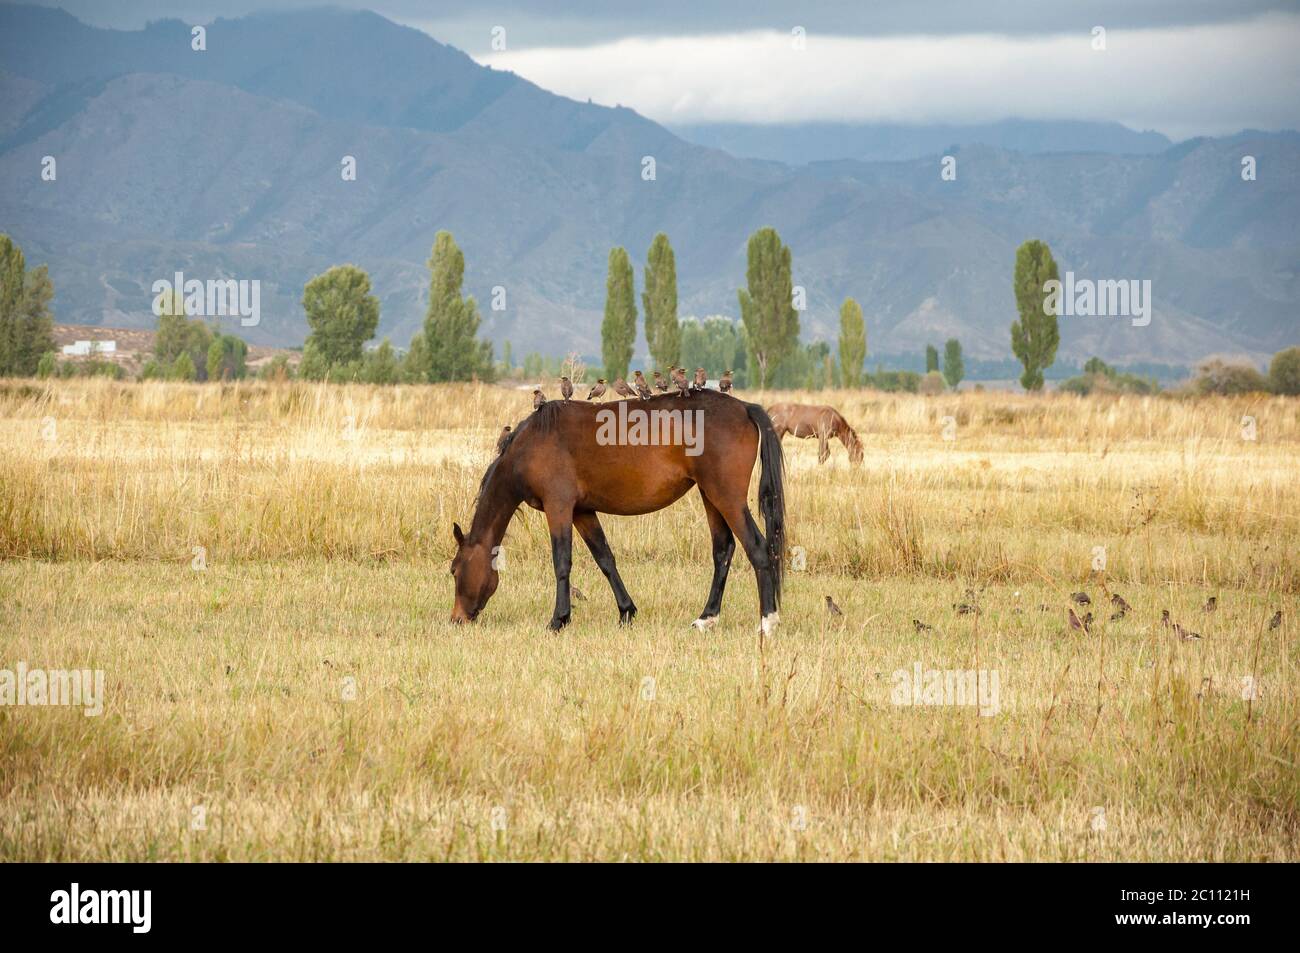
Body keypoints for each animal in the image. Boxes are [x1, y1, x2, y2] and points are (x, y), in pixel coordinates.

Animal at [452, 390, 785, 634]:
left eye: (454, 570)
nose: (457, 619)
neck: (532, 443)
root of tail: (744, 407)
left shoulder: (558, 507)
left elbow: (562, 562)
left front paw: (559, 620)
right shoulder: (583, 512)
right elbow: (605, 559)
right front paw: (626, 612)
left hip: (726, 497)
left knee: (757, 548)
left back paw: (768, 621)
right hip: (710, 496)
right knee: (723, 550)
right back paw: (706, 618)